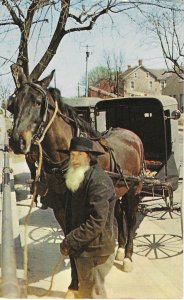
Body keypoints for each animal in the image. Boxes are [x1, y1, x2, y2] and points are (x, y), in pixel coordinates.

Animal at [8, 69, 144, 296]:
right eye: (14, 103)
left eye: (38, 102)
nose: (17, 141)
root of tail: (132, 135)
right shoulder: (62, 210)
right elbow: (69, 244)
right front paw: (74, 285)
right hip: (117, 192)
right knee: (118, 214)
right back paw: (119, 249)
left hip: (134, 190)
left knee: (131, 219)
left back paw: (127, 257)